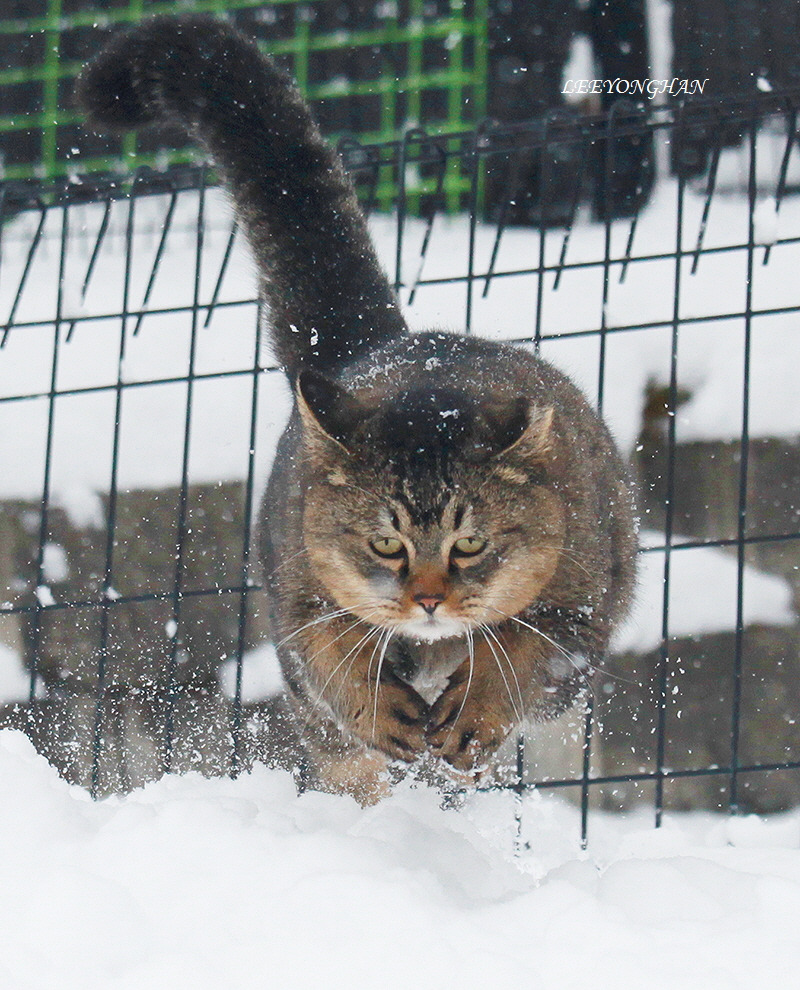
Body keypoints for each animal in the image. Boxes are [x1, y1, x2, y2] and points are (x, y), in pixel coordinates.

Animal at [75, 13, 636, 808]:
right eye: (384, 543)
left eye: (471, 543)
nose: (428, 600)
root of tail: (382, 340)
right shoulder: (298, 596)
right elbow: (332, 652)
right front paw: (382, 705)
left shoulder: (581, 608)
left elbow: (523, 652)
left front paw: (474, 712)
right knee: (341, 750)